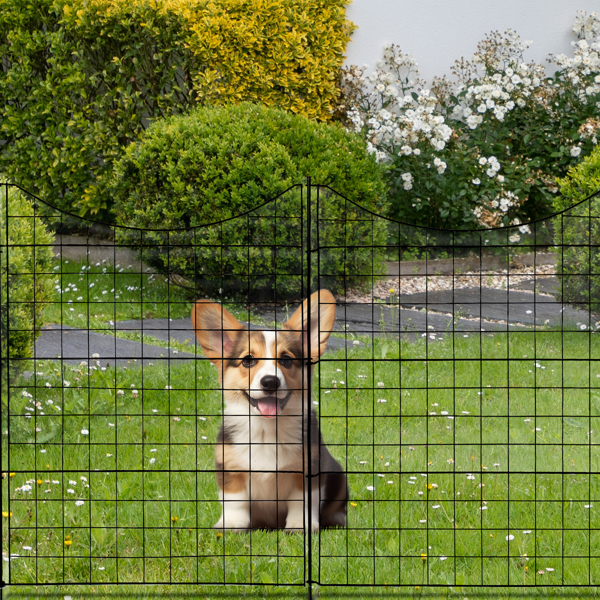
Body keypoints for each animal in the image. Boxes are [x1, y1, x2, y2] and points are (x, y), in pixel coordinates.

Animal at [192, 290, 346, 528]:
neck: (266, 429)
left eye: (286, 360)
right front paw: (232, 525)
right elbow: (234, 501)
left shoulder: (308, 470)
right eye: (248, 361)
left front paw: (300, 526)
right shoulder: (230, 468)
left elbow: (302, 501)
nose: (270, 382)